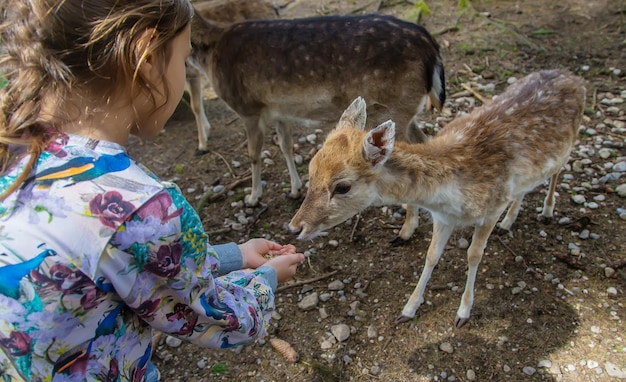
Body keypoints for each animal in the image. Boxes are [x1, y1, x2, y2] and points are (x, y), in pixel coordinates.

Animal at [290, 70, 584, 326]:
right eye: (311, 169)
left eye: (342, 187)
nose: (295, 227)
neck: (452, 198)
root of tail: (573, 76)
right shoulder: (443, 217)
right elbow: (431, 256)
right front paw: (408, 309)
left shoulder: (491, 208)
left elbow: (474, 255)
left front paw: (463, 312)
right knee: (526, 186)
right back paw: (509, 221)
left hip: (570, 143)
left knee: (558, 171)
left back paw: (547, 211)